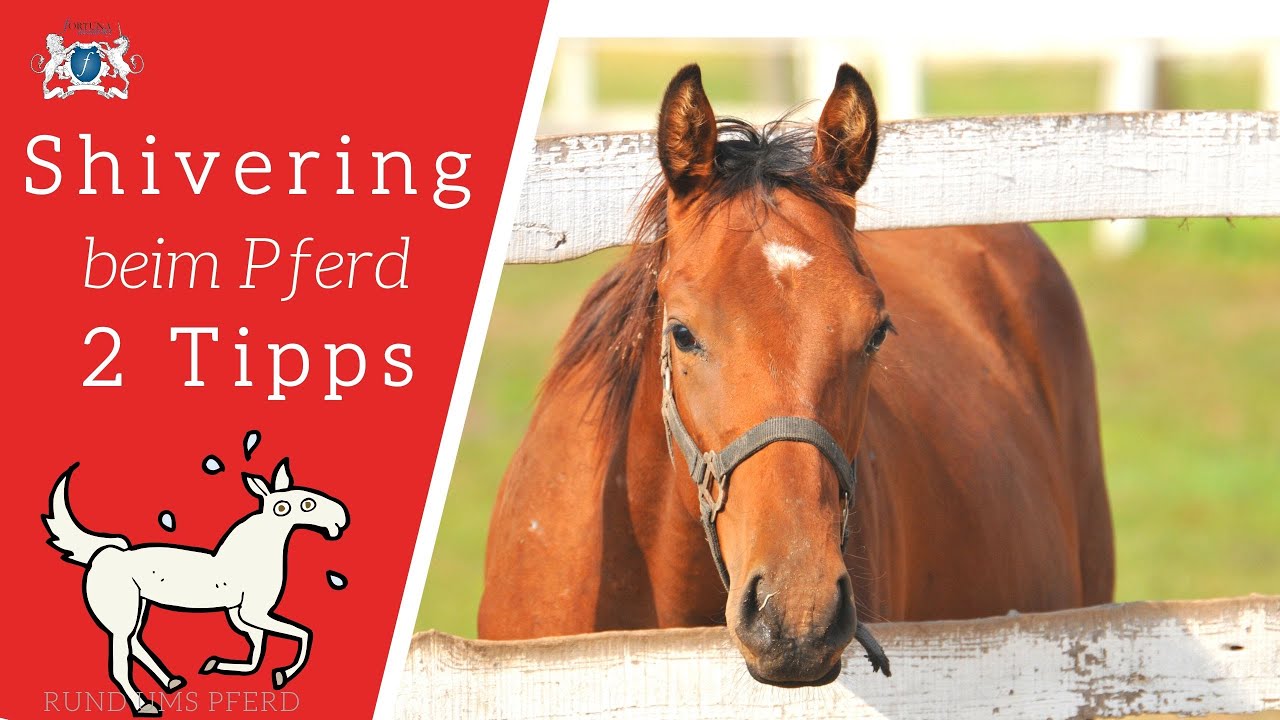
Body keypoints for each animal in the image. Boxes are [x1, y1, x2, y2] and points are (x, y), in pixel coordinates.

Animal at [44, 458, 349, 717]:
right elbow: (302, 634)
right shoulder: (253, 612)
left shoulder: (240, 614)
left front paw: (218, 664)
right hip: (122, 615)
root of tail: (104, 553)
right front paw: (284, 673)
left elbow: (257, 653)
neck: (251, 555)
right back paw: (144, 705)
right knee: (120, 664)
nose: (341, 518)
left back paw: (170, 681)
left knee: (135, 644)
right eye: (301, 505)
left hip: (139, 609)